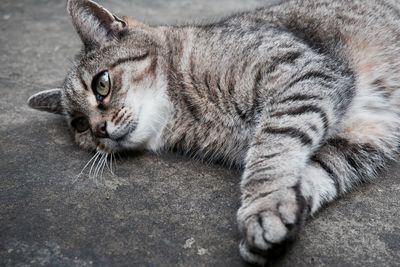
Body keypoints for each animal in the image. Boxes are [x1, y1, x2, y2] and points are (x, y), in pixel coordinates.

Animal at [27, 0, 400, 264]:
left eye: (101, 84)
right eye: (79, 125)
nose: (100, 130)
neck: (186, 113)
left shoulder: (304, 75)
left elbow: (271, 153)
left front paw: (264, 208)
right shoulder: (357, 139)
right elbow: (314, 173)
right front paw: (284, 216)